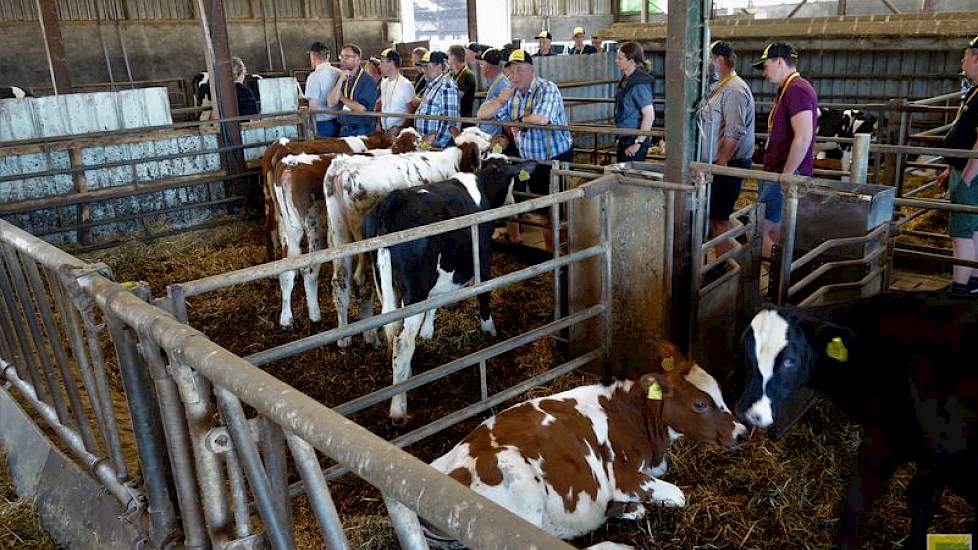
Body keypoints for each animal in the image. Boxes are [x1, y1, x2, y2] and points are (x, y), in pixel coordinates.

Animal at [324, 127, 496, 348]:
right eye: (486, 150)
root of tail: (343, 167)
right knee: (362, 283)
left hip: (340, 236)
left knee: (341, 282)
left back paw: (344, 337)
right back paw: (370, 336)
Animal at [364, 157, 536, 424]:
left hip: (385, 282)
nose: (513, 204)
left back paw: (405, 376)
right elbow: (484, 294)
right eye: (512, 179)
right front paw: (489, 330)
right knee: (402, 342)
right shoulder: (483, 257)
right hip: (415, 289)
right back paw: (398, 409)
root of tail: (393, 200)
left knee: (393, 331)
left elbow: (434, 303)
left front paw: (427, 332)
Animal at [740, 292, 976, 548]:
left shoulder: (883, 439)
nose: (749, 411)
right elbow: (923, 503)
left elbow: (856, 505)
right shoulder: (934, 458)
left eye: (789, 361)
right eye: (745, 351)